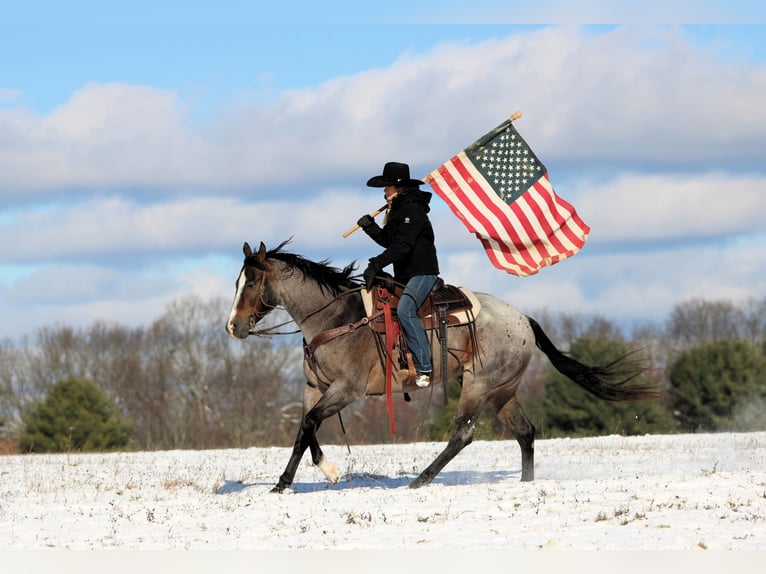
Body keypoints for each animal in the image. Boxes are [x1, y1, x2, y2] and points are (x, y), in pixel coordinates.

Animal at [226, 240, 660, 492]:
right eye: (236, 282)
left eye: (252, 283)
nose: (233, 326)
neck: (336, 318)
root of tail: (523, 319)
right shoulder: (314, 388)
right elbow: (304, 428)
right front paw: (290, 481)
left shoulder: (346, 390)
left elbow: (310, 423)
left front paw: (318, 475)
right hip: (502, 391)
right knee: (525, 432)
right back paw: (524, 484)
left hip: (478, 386)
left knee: (462, 435)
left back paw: (421, 481)